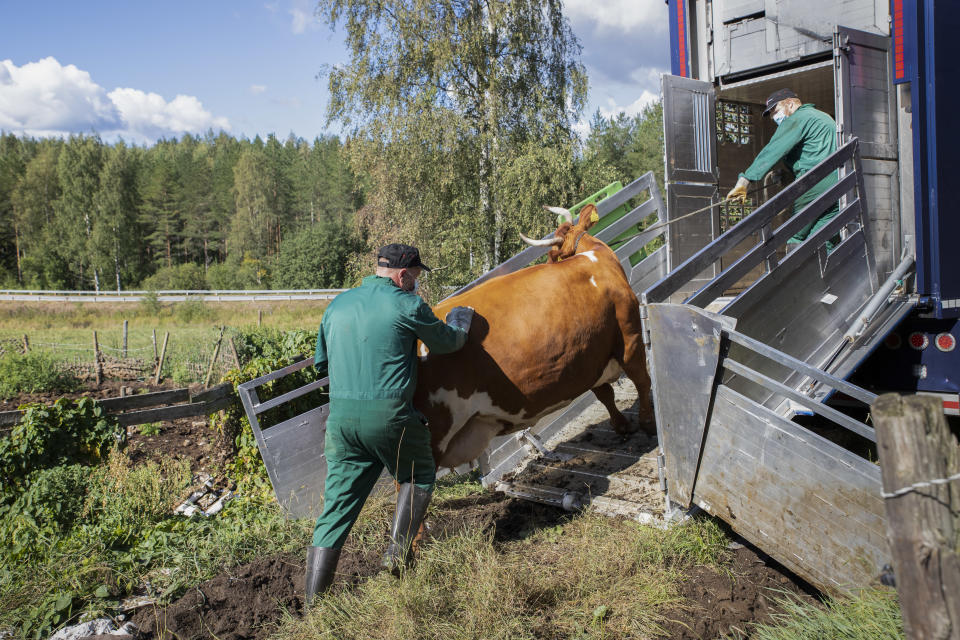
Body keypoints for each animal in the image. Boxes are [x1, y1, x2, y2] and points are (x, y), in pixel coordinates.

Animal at [416, 201, 656, 470]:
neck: (594, 259)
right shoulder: (629, 335)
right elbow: (641, 380)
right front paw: (648, 423)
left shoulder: (591, 352)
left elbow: (605, 393)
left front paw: (622, 425)